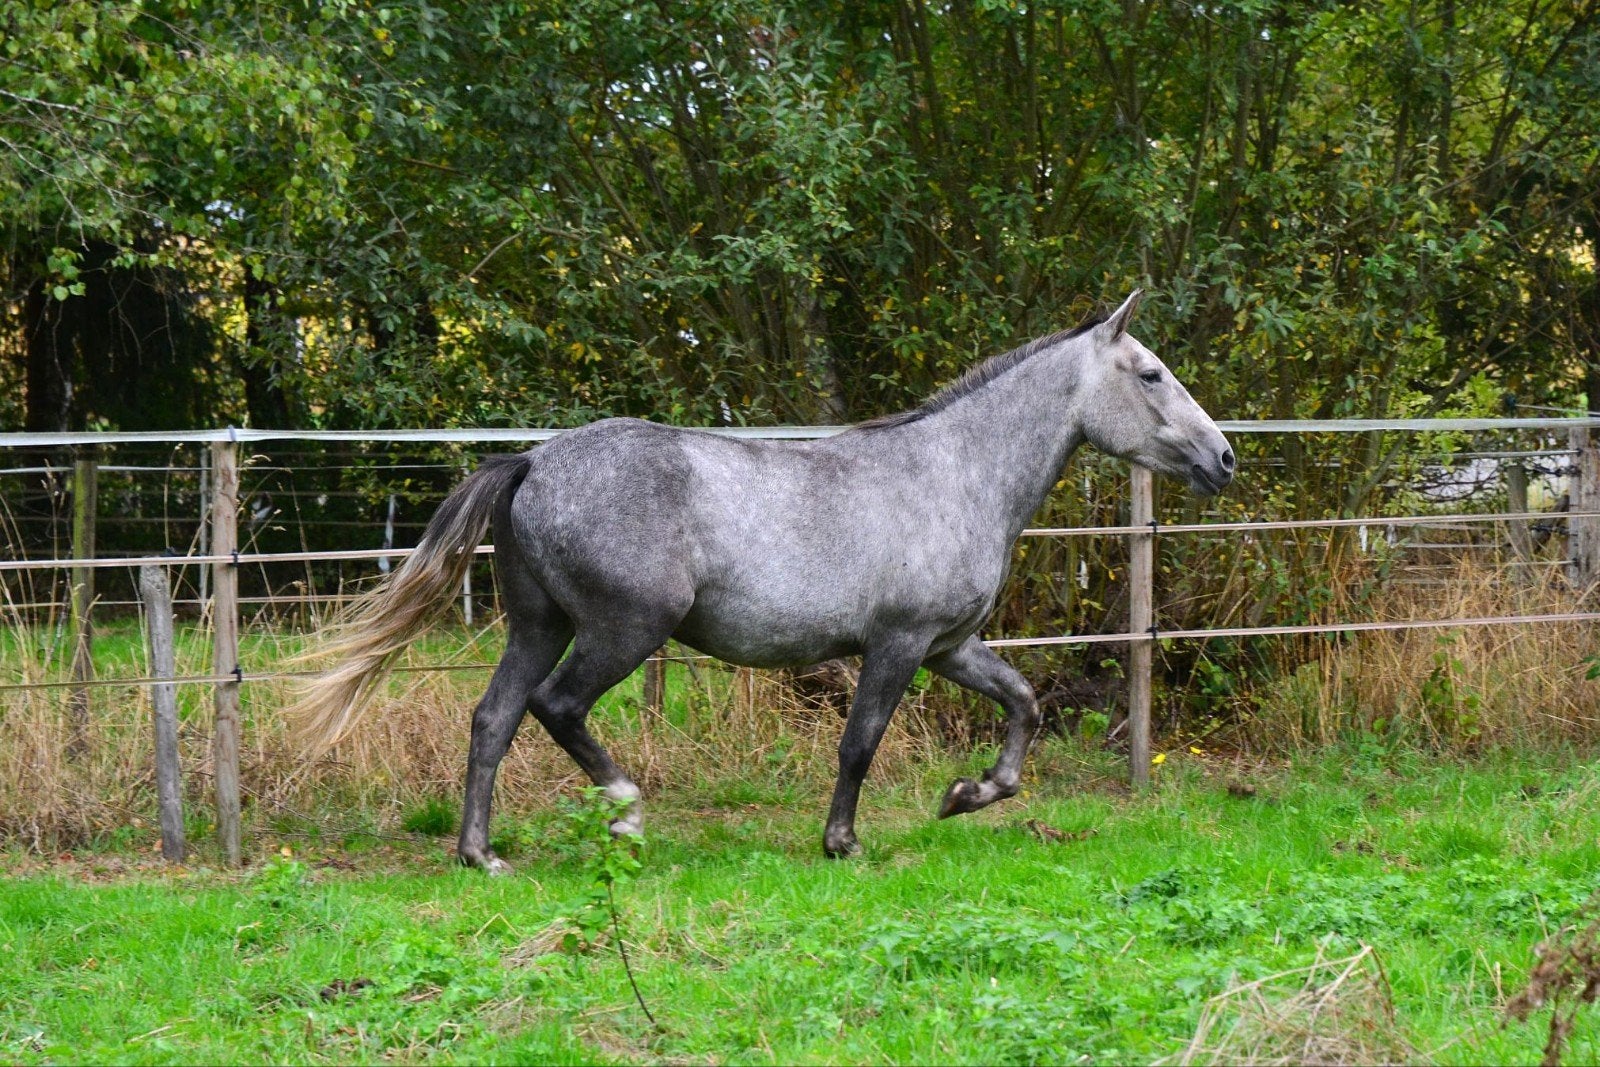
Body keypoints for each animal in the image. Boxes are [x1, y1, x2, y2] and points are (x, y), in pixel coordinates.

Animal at [292, 290, 1233, 871]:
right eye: (1151, 373)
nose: (1222, 457)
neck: (952, 473)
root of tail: (532, 461)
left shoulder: (950, 645)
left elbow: (1026, 704)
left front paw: (967, 794)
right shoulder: (897, 644)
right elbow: (860, 742)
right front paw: (843, 842)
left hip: (539, 623)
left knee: (493, 717)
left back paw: (480, 854)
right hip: (624, 628)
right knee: (556, 706)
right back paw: (626, 811)